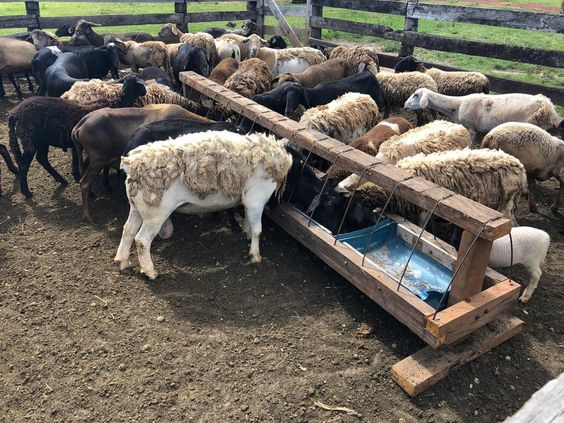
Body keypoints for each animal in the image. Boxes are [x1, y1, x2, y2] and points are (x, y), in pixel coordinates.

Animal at [113, 131, 294, 280]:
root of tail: (131, 164)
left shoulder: (249, 201)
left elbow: (249, 223)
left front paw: (247, 235)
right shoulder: (256, 199)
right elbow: (258, 230)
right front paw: (255, 256)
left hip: (137, 207)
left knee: (128, 230)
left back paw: (122, 261)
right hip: (155, 213)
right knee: (141, 240)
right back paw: (150, 272)